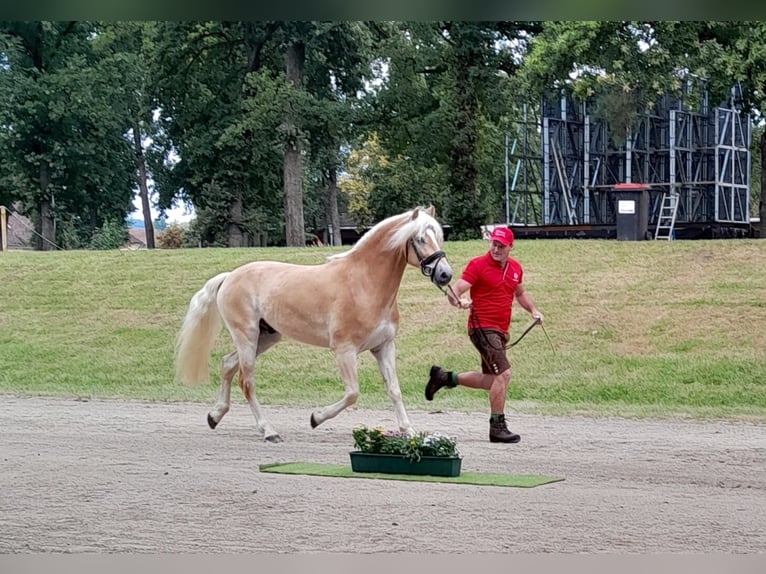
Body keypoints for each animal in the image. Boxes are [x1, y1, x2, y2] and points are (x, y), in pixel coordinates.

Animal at [177, 207, 452, 446]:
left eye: (439, 237)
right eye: (419, 239)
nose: (445, 275)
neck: (363, 284)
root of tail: (229, 277)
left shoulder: (383, 346)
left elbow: (394, 390)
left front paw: (409, 432)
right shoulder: (344, 350)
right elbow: (352, 393)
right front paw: (315, 418)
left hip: (265, 338)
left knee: (227, 365)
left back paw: (215, 416)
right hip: (247, 336)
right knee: (247, 381)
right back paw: (268, 431)